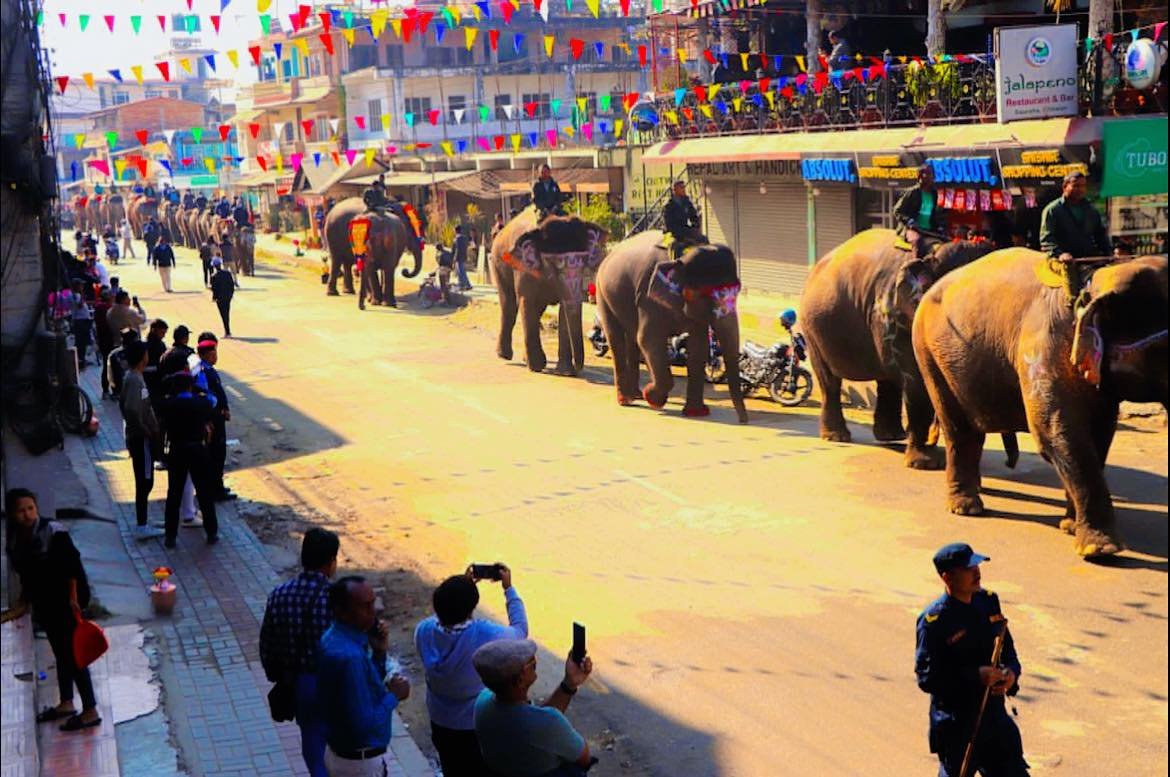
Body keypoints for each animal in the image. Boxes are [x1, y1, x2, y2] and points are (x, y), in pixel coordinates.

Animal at [489, 205, 608, 376]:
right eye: (554, 263)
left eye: (585, 261)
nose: (578, 368)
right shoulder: (524, 269)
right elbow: (526, 302)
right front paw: (536, 367)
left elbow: (564, 309)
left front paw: (565, 372)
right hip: (497, 263)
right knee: (509, 306)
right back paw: (504, 355)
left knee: (537, 310)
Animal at [594, 230, 748, 425]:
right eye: (705, 295)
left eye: (738, 290)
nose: (744, 420)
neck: (683, 254)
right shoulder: (648, 297)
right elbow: (649, 338)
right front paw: (652, 398)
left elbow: (699, 345)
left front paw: (696, 413)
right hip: (603, 292)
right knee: (617, 338)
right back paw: (627, 400)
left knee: (633, 339)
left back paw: (637, 395)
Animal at [804, 225, 996, 468]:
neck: (934, 250)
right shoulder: (893, 315)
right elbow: (916, 381)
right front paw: (925, 464)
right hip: (812, 329)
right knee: (829, 380)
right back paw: (837, 436)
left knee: (886, 378)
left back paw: (892, 436)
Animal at [912, 250, 1170, 559]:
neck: (1089, 284)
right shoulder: (1042, 351)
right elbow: (1056, 433)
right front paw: (1100, 550)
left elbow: (1099, 435)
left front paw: (1070, 527)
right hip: (928, 354)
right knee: (959, 430)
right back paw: (966, 507)